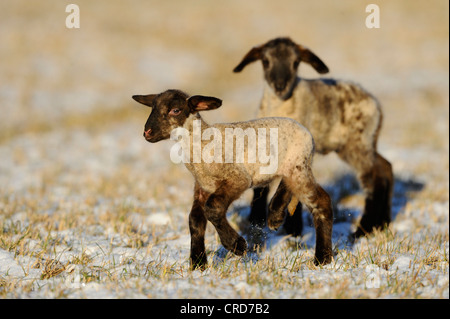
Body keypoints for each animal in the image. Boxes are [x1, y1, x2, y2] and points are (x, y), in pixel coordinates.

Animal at [132, 89, 332, 270]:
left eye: (175, 110)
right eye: (152, 108)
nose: (147, 132)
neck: (201, 144)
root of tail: (307, 132)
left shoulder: (237, 178)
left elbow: (213, 209)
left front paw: (237, 246)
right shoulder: (203, 187)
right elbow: (195, 220)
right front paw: (198, 264)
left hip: (297, 166)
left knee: (321, 202)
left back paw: (323, 259)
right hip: (292, 168)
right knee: (288, 186)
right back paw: (276, 214)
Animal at [234, 37, 392, 240]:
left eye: (295, 63)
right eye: (266, 61)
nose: (280, 86)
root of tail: (375, 104)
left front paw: (289, 226)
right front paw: (257, 219)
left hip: (358, 144)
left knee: (374, 179)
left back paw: (363, 229)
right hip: (357, 145)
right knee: (385, 167)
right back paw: (384, 222)